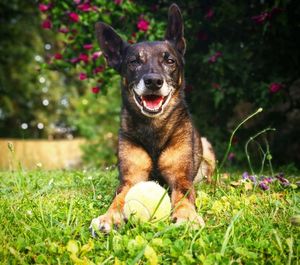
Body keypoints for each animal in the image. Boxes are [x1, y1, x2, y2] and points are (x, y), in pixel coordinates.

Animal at [89, 2, 216, 233]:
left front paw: (187, 216)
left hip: (206, 146)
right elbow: (119, 198)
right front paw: (109, 216)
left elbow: (183, 196)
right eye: (133, 62)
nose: (154, 81)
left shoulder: (180, 177)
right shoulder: (131, 178)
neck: (154, 129)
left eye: (169, 60)